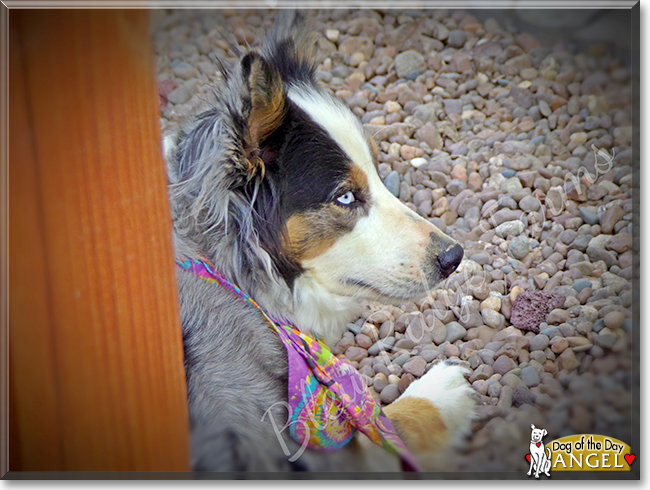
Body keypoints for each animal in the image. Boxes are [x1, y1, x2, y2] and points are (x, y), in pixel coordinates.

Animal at [165, 10, 474, 470]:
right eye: (345, 197)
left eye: (377, 172)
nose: (453, 257)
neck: (229, 273)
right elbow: (378, 427)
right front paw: (440, 392)